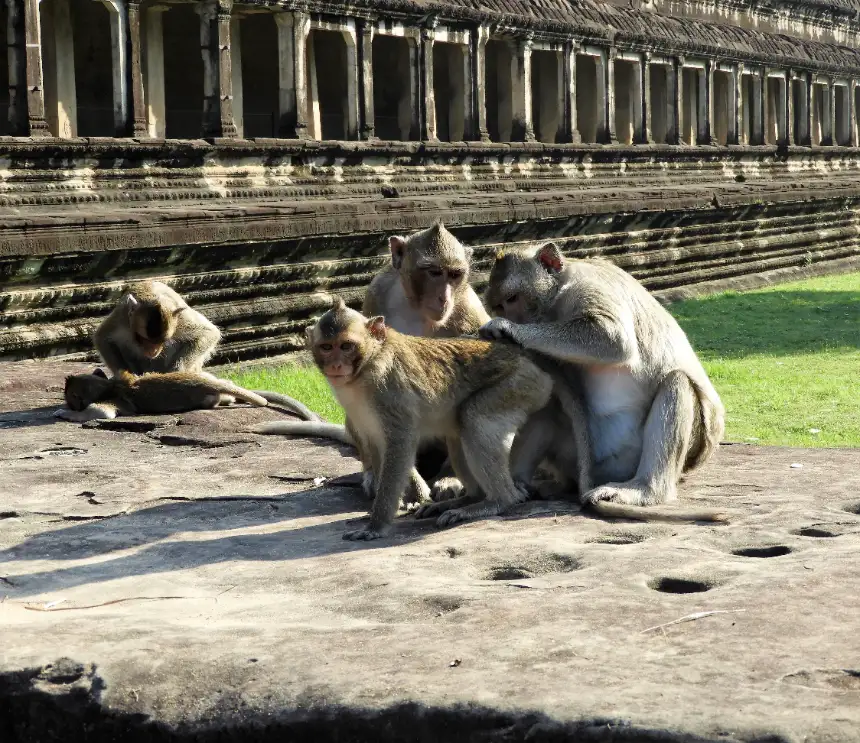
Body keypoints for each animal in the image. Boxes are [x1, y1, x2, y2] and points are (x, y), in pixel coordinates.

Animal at [92, 282, 223, 380]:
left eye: (162, 341)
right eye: (142, 339)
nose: (152, 352)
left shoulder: (181, 320)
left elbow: (209, 333)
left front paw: (176, 371)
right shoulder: (122, 319)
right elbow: (102, 337)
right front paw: (125, 375)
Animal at [300, 296, 552, 540]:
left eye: (346, 346)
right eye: (326, 347)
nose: (335, 364)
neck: (367, 364)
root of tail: (531, 362)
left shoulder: (389, 393)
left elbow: (400, 444)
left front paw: (377, 525)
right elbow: (376, 445)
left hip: (519, 385)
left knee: (473, 418)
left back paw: (498, 500)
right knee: (459, 432)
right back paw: (470, 498)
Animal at [480, 244, 728, 524]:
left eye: (512, 299)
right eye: (499, 305)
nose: (509, 315)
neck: (559, 293)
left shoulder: (588, 286)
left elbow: (611, 338)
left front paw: (508, 329)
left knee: (677, 382)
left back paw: (645, 489)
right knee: (551, 404)